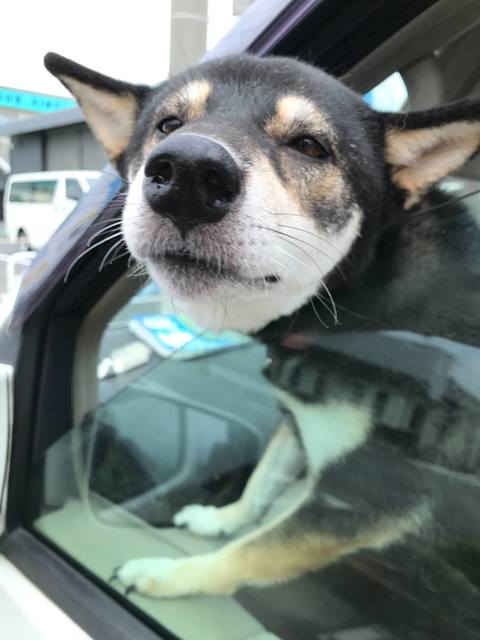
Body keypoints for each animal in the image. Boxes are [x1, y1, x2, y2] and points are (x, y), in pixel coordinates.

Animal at [45, 52, 480, 610]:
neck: (362, 301)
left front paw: (168, 575)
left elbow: (248, 554)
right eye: (168, 124)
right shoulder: (298, 416)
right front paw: (218, 519)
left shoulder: (371, 492)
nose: (187, 172)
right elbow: (261, 483)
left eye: (309, 145)